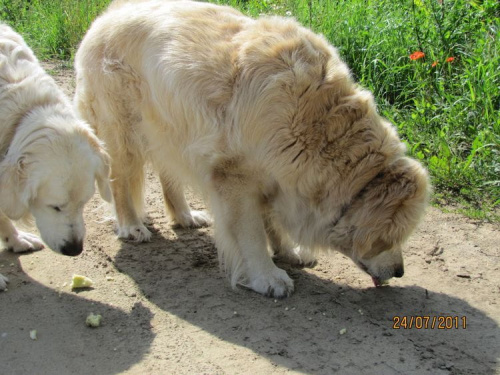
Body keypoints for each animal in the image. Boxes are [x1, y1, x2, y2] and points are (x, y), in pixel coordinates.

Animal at [74, 0, 430, 300]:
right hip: (125, 132)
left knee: (167, 172)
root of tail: (107, 14)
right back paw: (132, 226)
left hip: (171, 128)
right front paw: (267, 276)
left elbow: (272, 221)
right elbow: (251, 234)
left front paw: (289, 252)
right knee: (121, 180)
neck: (319, 128)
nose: (400, 272)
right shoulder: (236, 177)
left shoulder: (279, 175)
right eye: (391, 238)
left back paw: (185, 216)